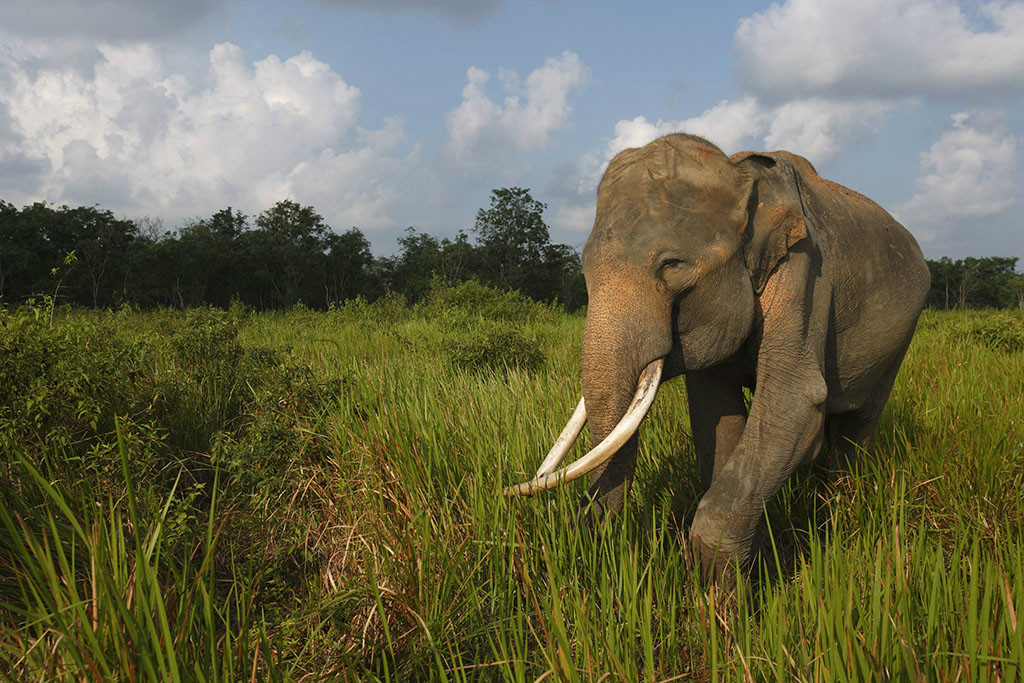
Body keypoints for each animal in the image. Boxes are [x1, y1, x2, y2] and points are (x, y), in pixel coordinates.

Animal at [505, 133, 930, 579]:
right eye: (583, 268)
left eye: (672, 265)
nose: (507, 490)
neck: (738, 174)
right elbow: (715, 414)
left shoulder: (804, 268)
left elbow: (795, 401)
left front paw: (722, 587)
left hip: (898, 342)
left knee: (854, 432)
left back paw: (840, 514)